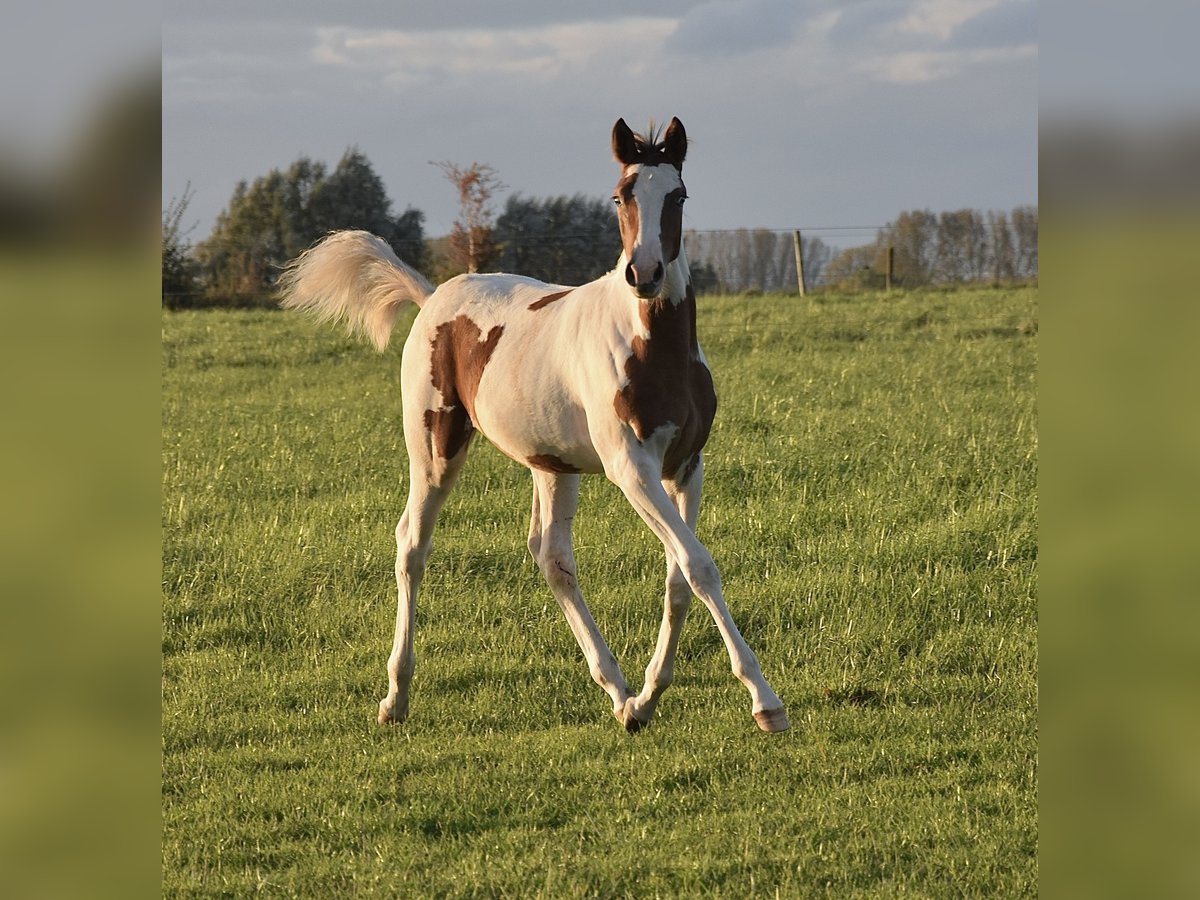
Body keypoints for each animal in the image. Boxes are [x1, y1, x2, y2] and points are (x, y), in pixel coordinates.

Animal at [277, 116, 792, 734]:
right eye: (620, 195)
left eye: (678, 195)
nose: (644, 274)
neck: (654, 348)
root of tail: (432, 296)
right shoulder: (631, 469)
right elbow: (699, 565)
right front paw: (765, 701)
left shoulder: (686, 467)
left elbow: (680, 578)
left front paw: (647, 698)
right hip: (435, 448)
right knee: (412, 545)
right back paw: (396, 697)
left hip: (553, 466)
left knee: (552, 557)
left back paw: (618, 692)